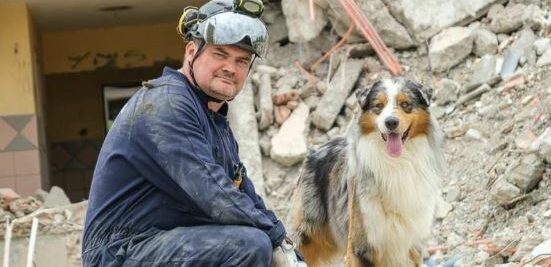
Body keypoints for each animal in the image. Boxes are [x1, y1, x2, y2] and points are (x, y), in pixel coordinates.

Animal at [292, 77, 446, 267]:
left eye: (406, 104)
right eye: (378, 106)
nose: (391, 122)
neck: (397, 164)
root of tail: (315, 149)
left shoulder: (413, 243)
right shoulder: (362, 244)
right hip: (309, 233)